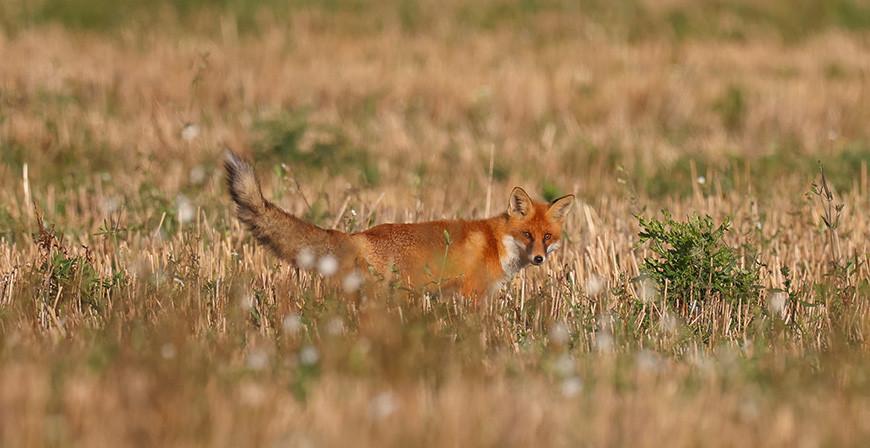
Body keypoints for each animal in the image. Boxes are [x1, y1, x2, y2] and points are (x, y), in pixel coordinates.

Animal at [228, 150, 576, 298]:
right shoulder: (472, 293)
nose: (539, 258)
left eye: (547, 236)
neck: (497, 242)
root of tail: (359, 235)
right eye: (527, 234)